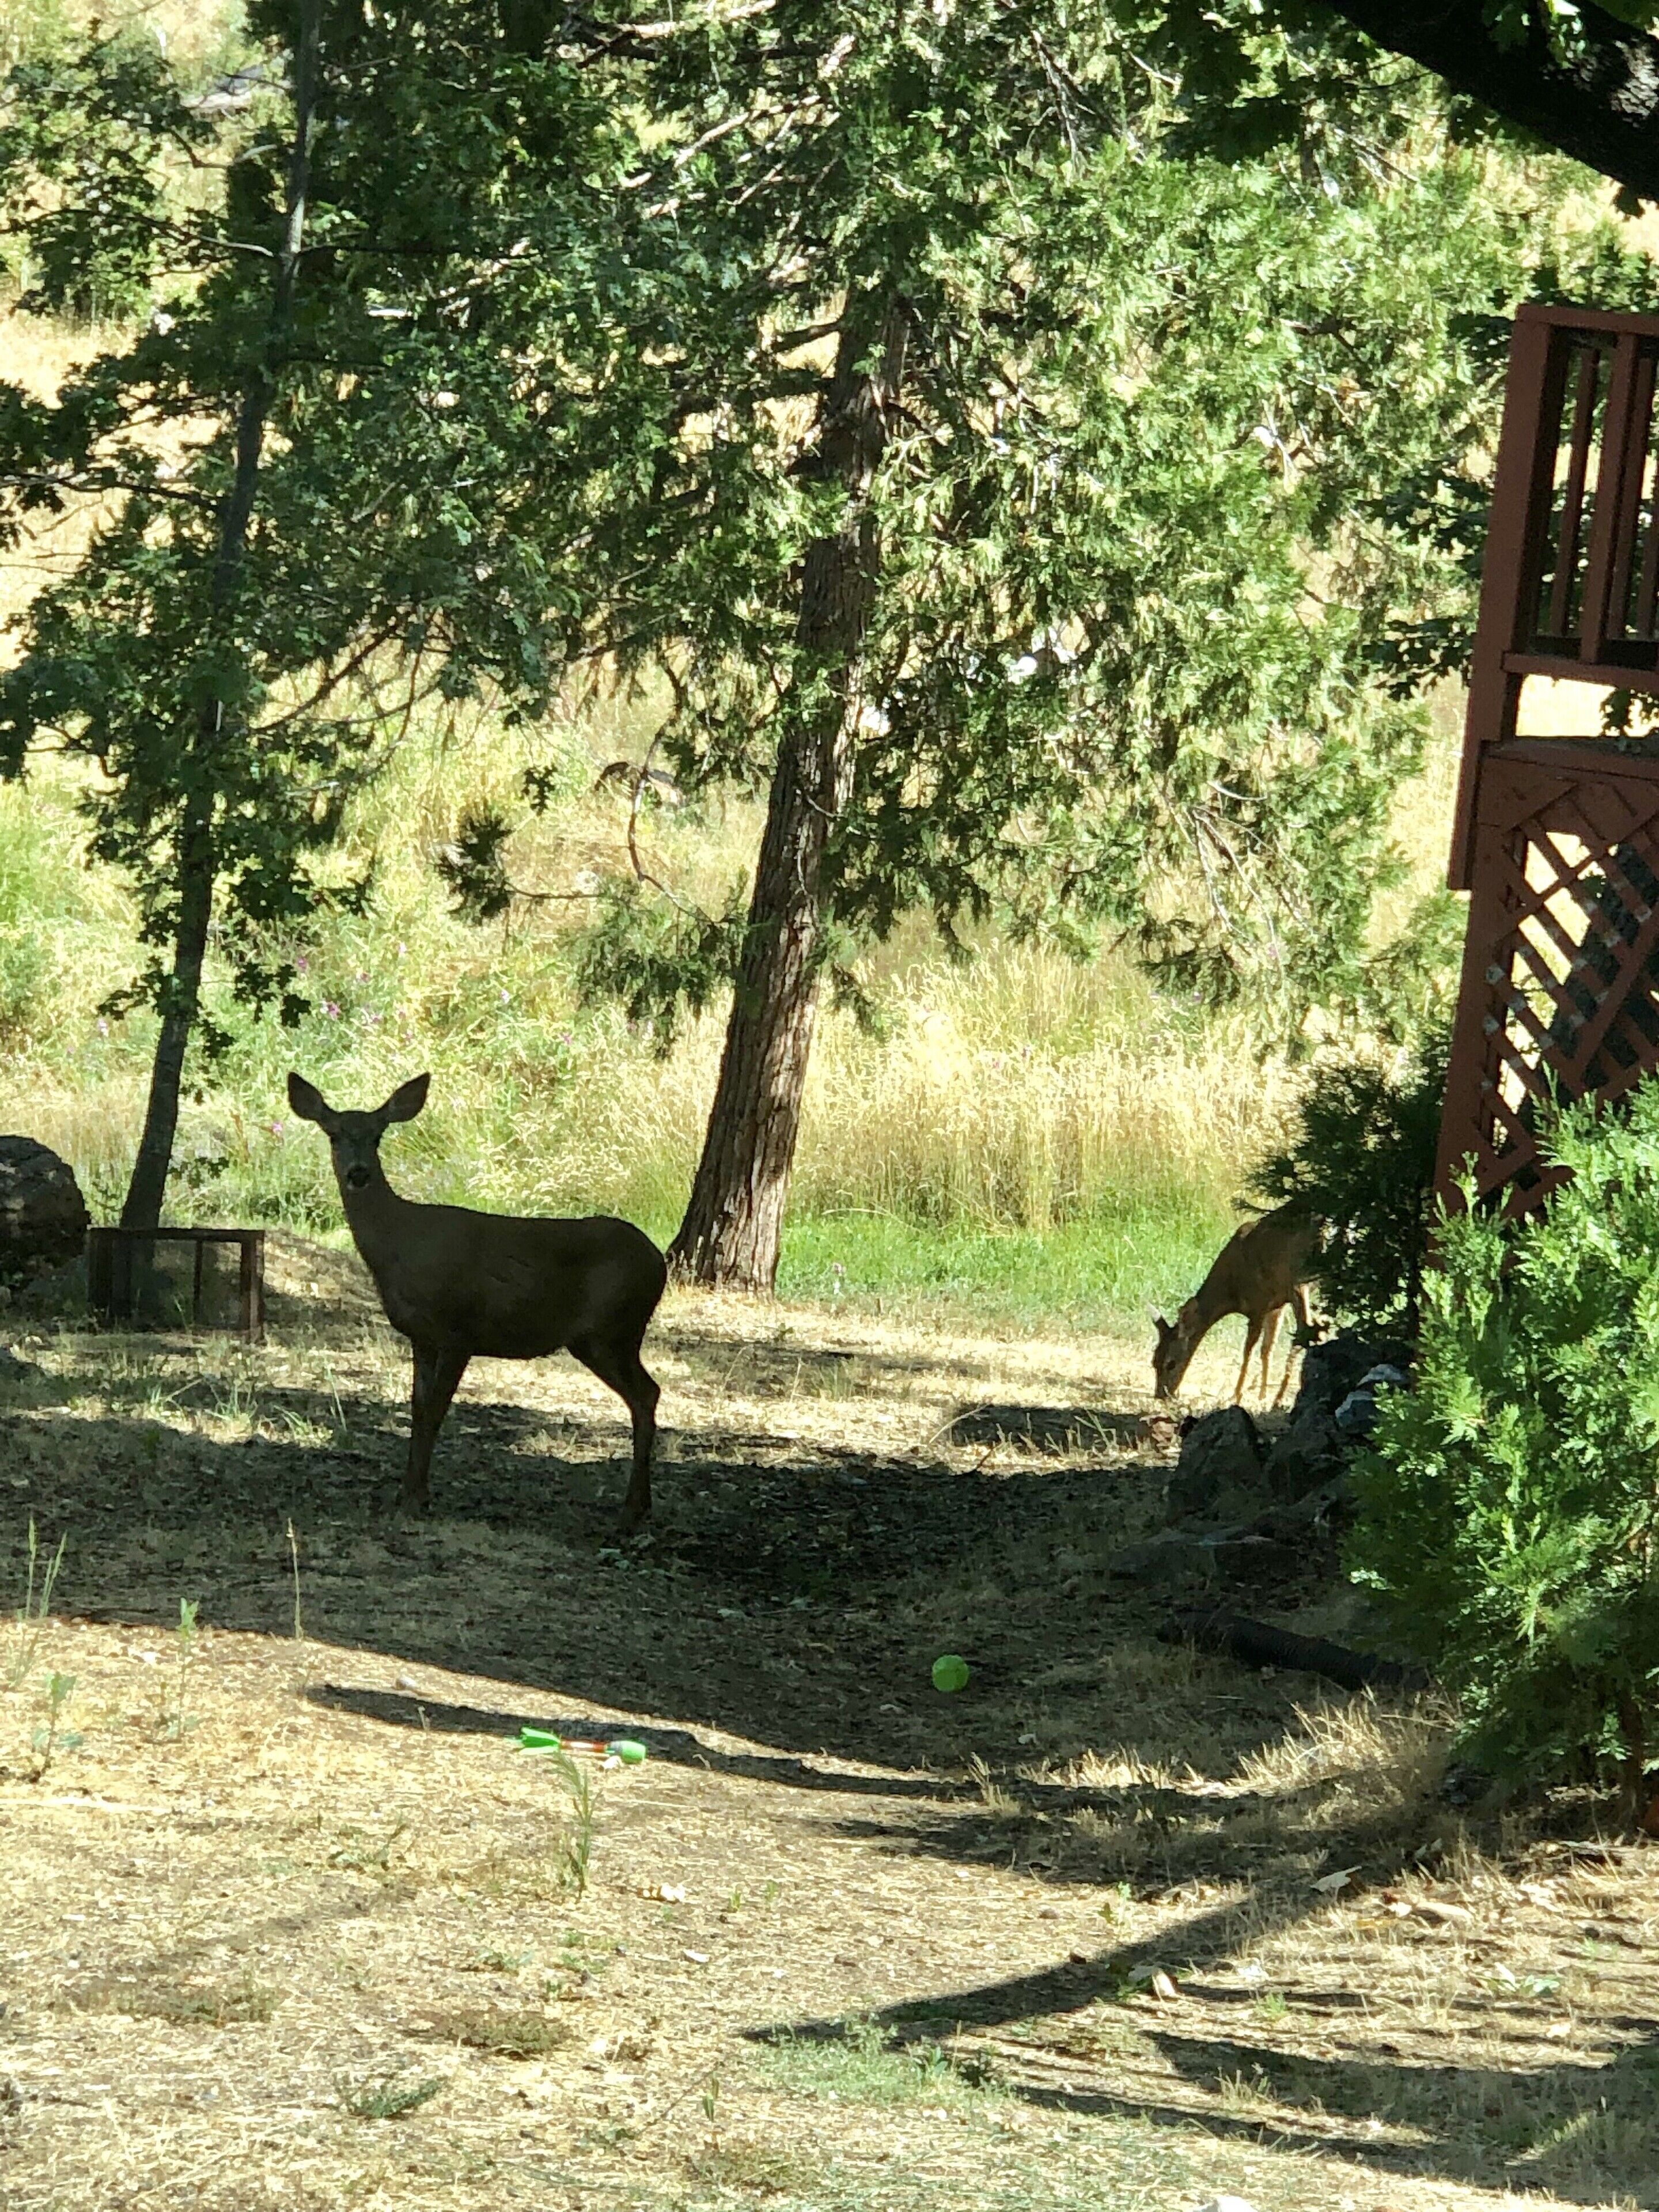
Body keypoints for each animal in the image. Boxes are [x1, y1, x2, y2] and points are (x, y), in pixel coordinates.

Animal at [286, 1073, 668, 1530]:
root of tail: (660, 1262)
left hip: (611, 1330)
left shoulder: (459, 1330)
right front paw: (409, 1493)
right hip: (612, 1336)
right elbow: (418, 1409)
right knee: (647, 1394)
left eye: (378, 1136)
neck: (399, 1246)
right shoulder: (422, 1336)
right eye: (334, 1134)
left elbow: (436, 1411)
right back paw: (640, 1506)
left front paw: (416, 1500)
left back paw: (631, 1509)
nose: (358, 1174)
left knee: (645, 1394)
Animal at [1152, 1202, 1321, 1408]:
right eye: (1154, 1361)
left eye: (1171, 1363)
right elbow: (1267, 1349)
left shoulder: (1258, 1303)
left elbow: (1248, 1349)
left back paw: (1280, 1397)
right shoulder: (1276, 1306)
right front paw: (1262, 1395)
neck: (1230, 1291)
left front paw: (1237, 1394)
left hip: (1299, 1279)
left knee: (1305, 1329)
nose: (1161, 1395)